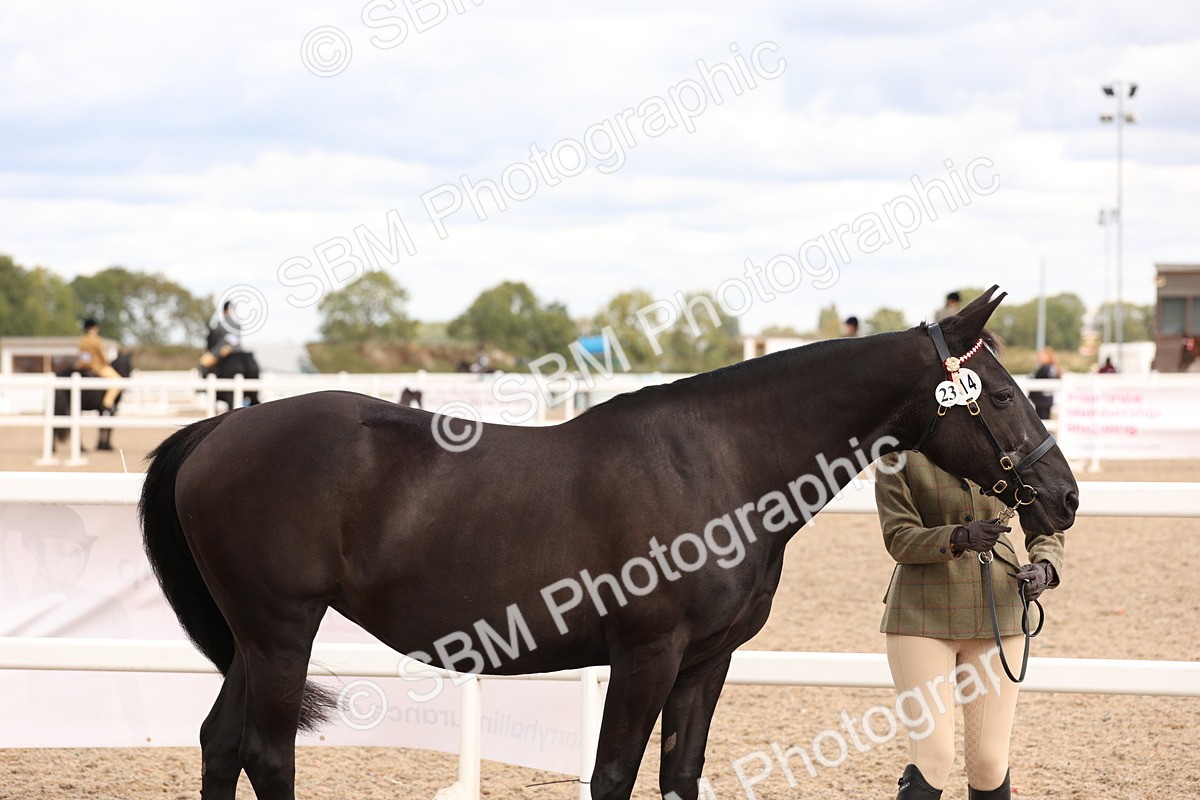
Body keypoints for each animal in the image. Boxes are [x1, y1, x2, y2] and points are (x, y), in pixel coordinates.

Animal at [139, 287, 1078, 800]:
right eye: (998, 395)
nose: (1063, 497)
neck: (719, 463)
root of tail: (218, 432)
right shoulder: (646, 654)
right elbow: (615, 776)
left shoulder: (705, 663)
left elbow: (678, 774)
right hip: (281, 631)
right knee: (267, 754)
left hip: (254, 640)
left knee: (220, 744)